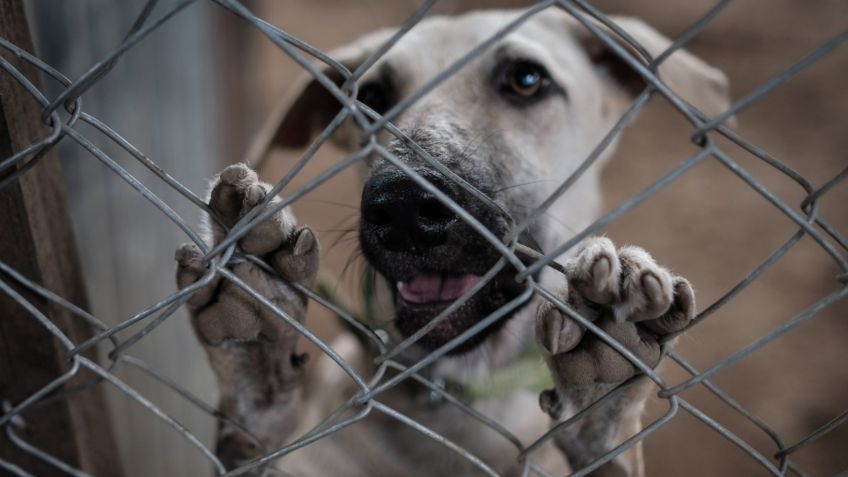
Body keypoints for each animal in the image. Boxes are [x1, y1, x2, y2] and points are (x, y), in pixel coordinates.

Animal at [174, 8, 728, 476]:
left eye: (527, 79)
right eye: (371, 97)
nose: (402, 206)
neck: (458, 400)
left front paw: (603, 395)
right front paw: (254, 356)